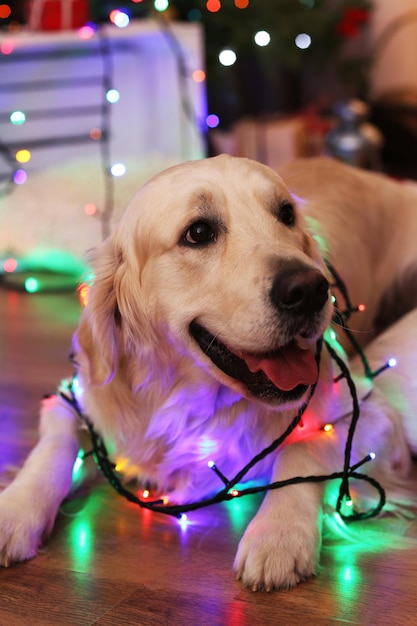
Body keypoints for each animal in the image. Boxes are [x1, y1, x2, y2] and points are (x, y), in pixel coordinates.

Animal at [0, 154, 416, 588]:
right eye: (198, 232)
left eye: (286, 214)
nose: (311, 290)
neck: (192, 397)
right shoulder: (76, 396)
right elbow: (54, 446)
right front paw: (14, 508)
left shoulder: (371, 410)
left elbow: (306, 447)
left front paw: (279, 533)